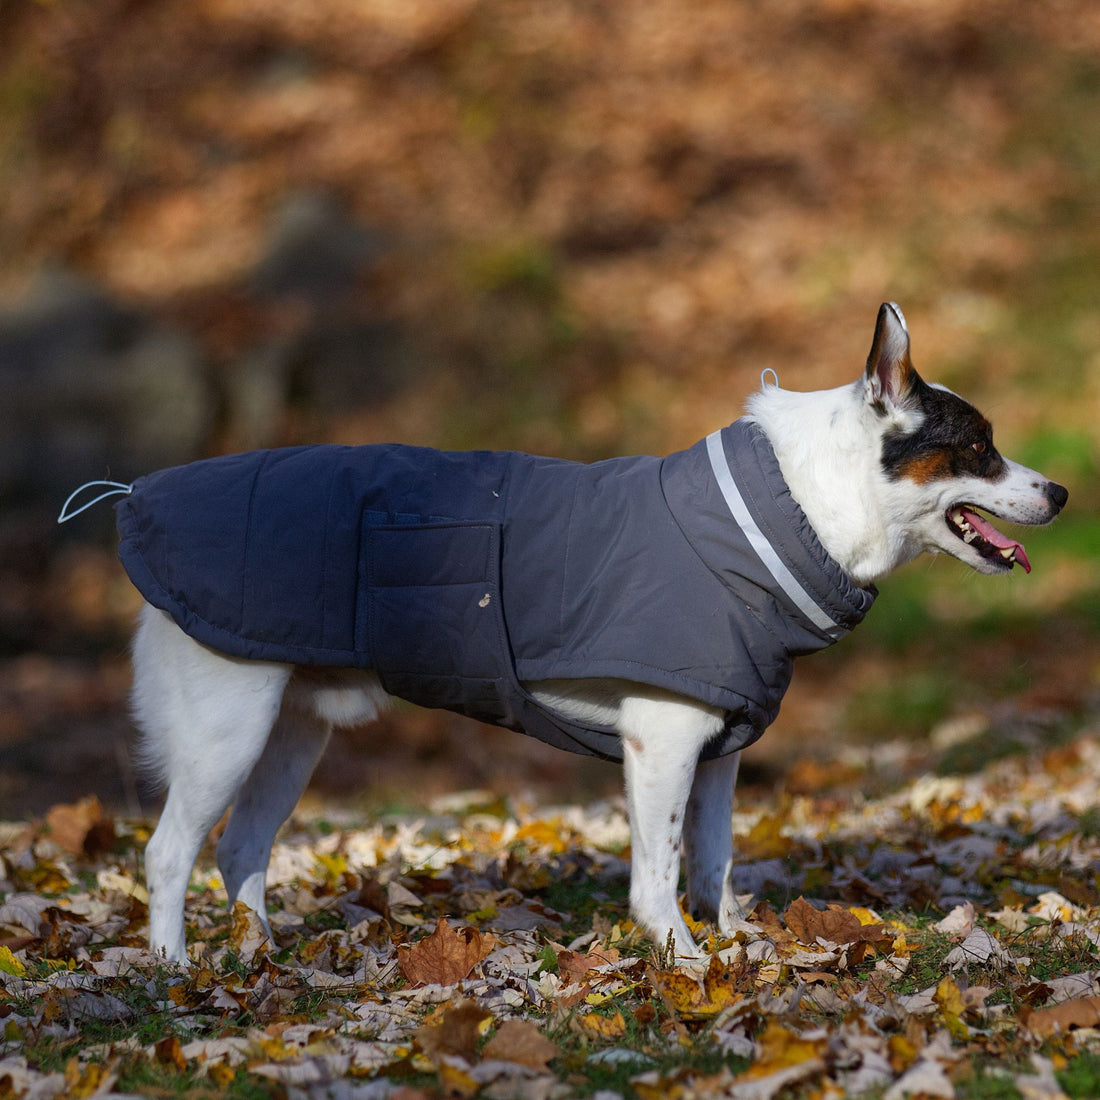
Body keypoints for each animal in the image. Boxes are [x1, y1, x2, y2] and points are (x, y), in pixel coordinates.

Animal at [107, 303, 1060, 963]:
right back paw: (176, 969)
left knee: (240, 850)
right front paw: (684, 961)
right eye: (979, 447)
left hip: (293, 735)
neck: (794, 504)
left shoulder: (719, 753)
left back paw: (257, 958)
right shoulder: (664, 742)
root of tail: (137, 497)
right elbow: (658, 878)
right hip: (226, 733)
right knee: (166, 854)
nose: (1059, 492)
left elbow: (712, 863)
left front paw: (735, 943)